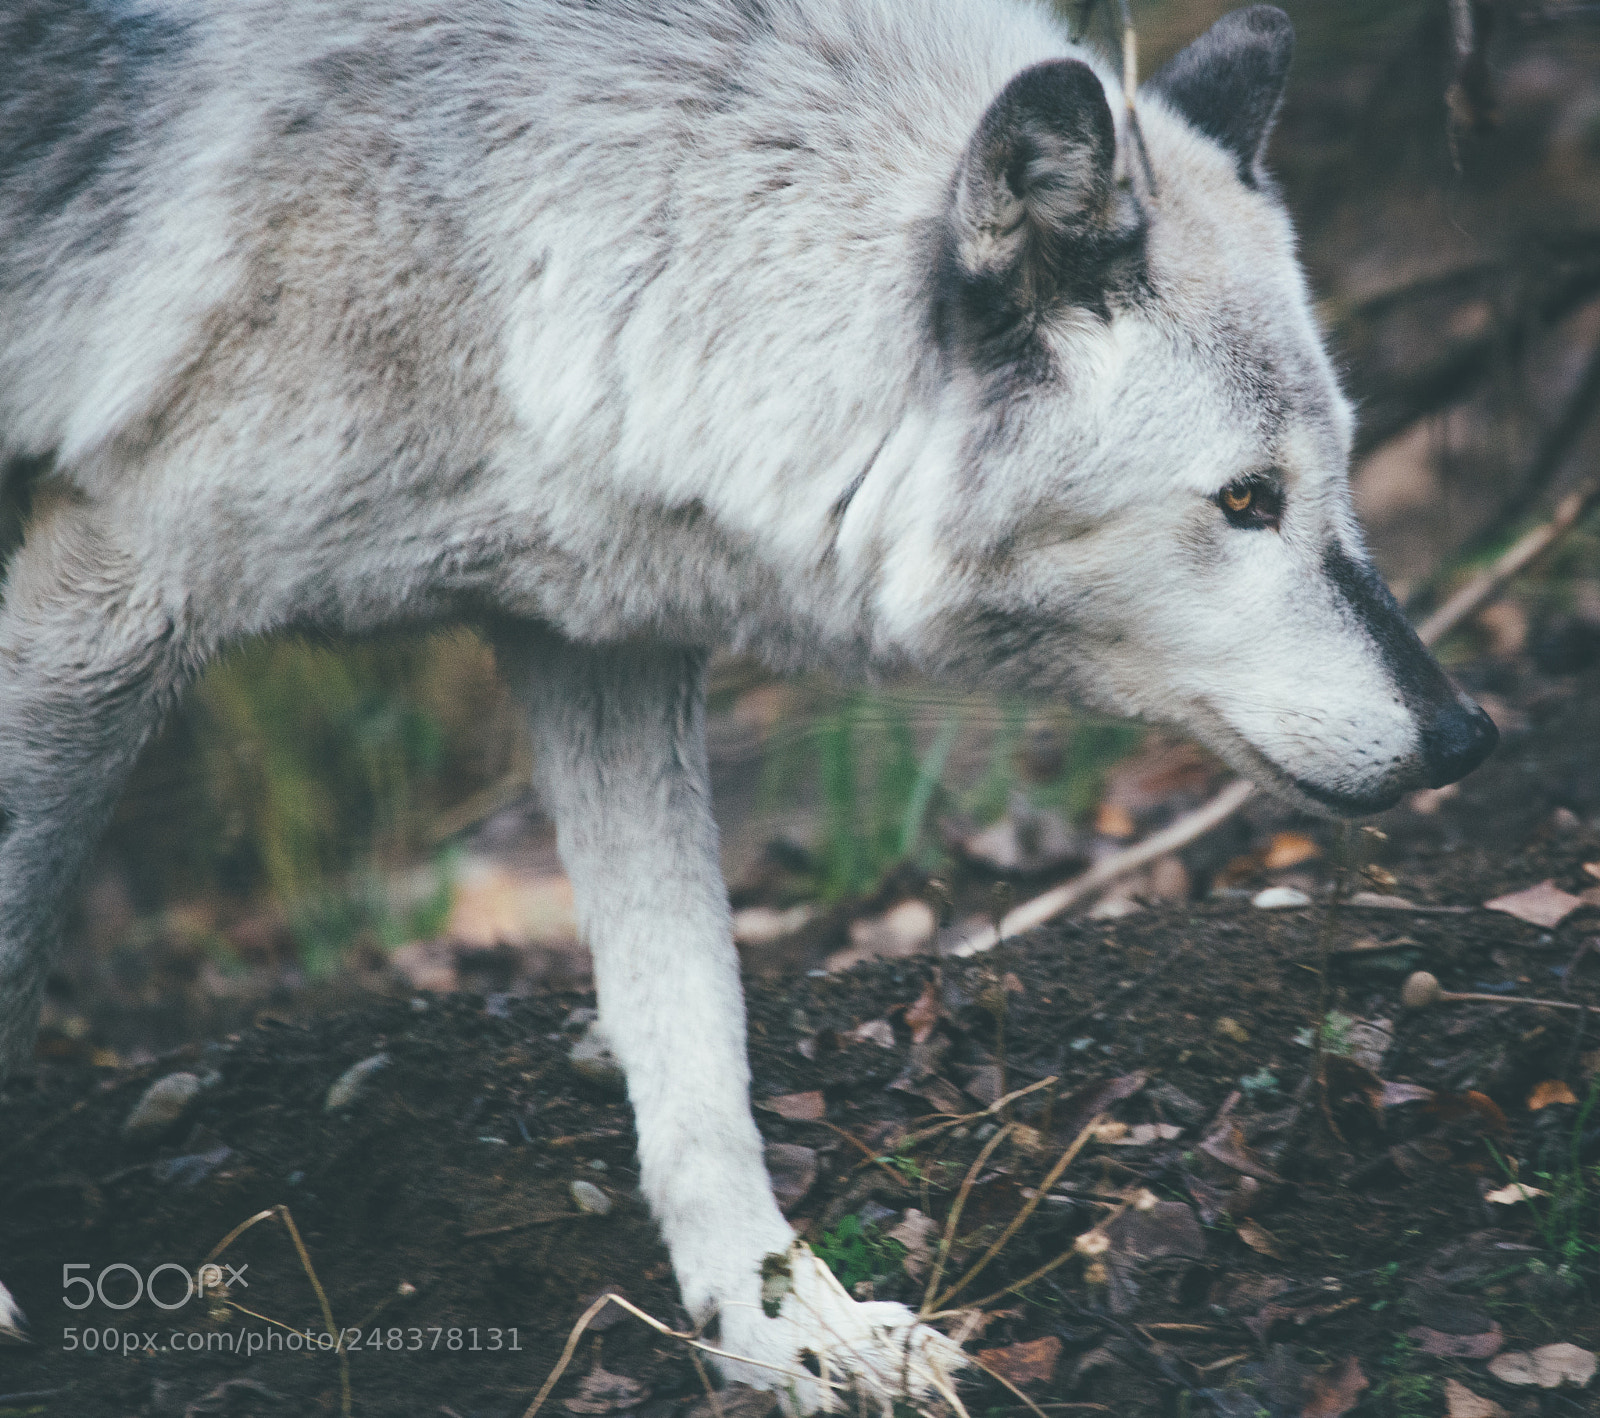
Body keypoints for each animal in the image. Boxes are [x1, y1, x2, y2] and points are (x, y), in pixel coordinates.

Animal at [0, 0, 1494, 1405]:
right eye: (1246, 499)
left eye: (1337, 475)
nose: (1466, 734)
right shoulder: (109, 595)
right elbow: (19, 938)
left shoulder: (598, 642)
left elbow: (693, 1026)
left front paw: (783, 1322)